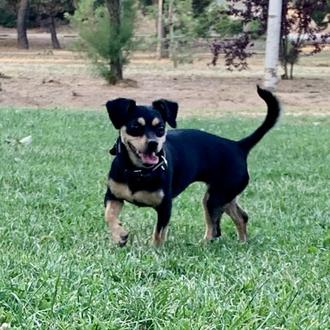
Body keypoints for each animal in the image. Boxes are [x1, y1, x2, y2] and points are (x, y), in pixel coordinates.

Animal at [104, 86, 280, 246]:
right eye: (135, 127)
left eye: (161, 128)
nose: (153, 143)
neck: (138, 171)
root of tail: (238, 146)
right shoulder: (113, 196)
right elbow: (108, 215)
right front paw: (119, 235)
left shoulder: (165, 207)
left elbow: (158, 234)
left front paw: (155, 251)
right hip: (223, 196)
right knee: (241, 217)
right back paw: (242, 243)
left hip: (215, 198)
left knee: (214, 228)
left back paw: (205, 244)